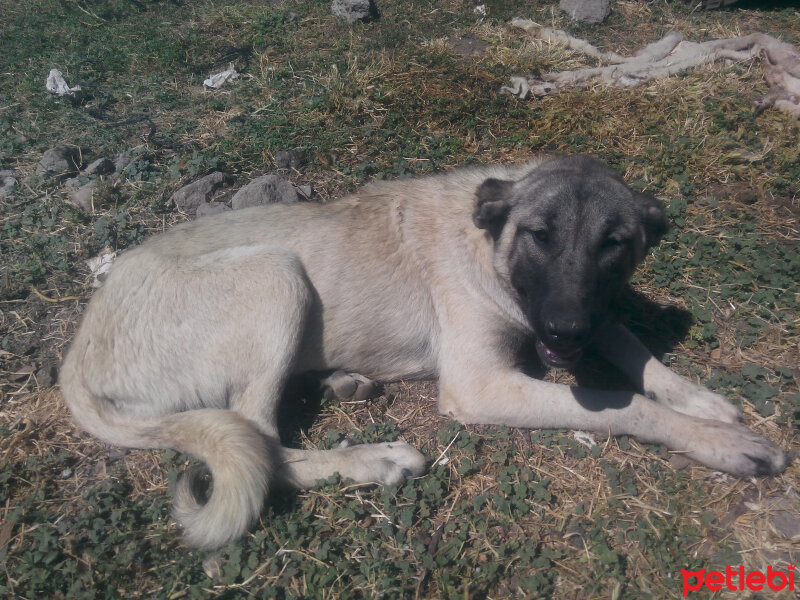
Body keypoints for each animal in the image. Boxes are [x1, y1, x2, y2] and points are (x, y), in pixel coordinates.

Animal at [61, 157, 788, 552]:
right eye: (540, 236)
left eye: (615, 244)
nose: (564, 327)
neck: (487, 245)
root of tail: (75, 357)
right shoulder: (483, 384)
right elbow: (625, 402)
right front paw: (721, 443)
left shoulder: (595, 315)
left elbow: (633, 349)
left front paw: (703, 400)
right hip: (277, 272)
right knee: (260, 442)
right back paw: (369, 459)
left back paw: (343, 382)